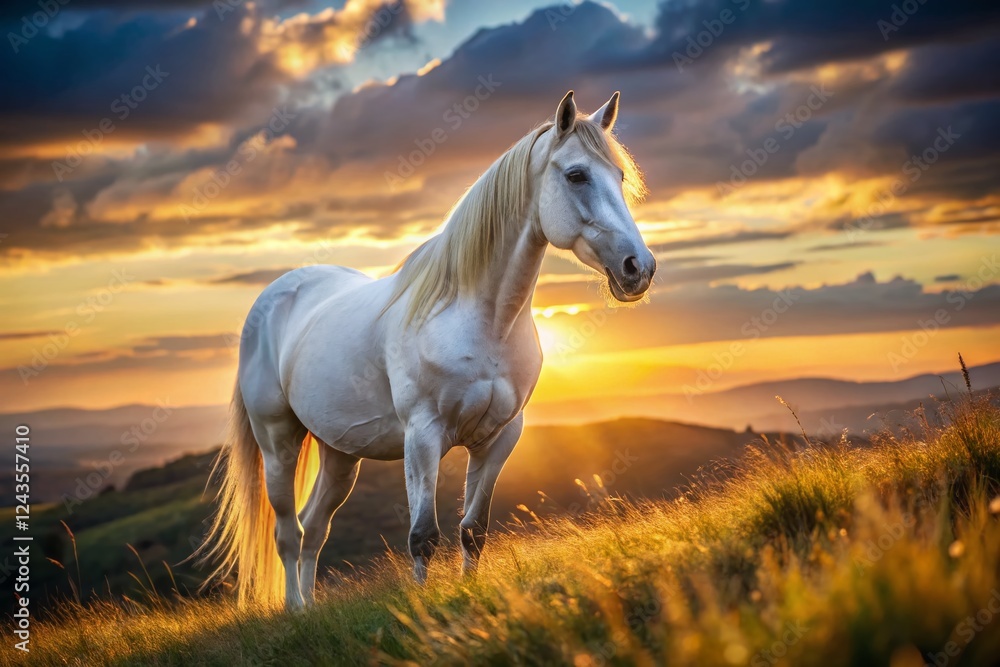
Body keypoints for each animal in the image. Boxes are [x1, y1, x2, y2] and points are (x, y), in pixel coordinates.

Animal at [199, 90, 660, 612]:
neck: (478, 318)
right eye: (576, 175)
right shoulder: (423, 436)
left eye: (619, 176)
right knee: (288, 534)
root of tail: (274, 297)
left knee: (315, 529)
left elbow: (473, 531)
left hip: (340, 454)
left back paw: (312, 610)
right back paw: (296, 611)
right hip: (278, 443)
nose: (638, 268)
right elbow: (422, 536)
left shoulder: (500, 437)